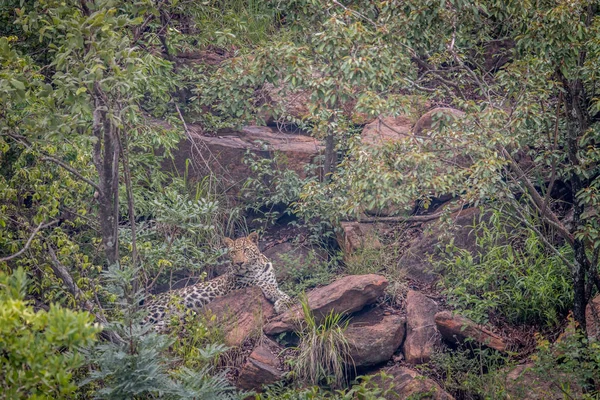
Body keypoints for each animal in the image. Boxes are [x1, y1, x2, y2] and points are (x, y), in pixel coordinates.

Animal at [144, 233, 292, 330]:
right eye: (233, 253)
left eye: (245, 250)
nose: (239, 263)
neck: (255, 269)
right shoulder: (233, 286)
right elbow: (258, 282)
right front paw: (272, 293)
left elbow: (284, 294)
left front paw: (283, 303)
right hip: (157, 309)